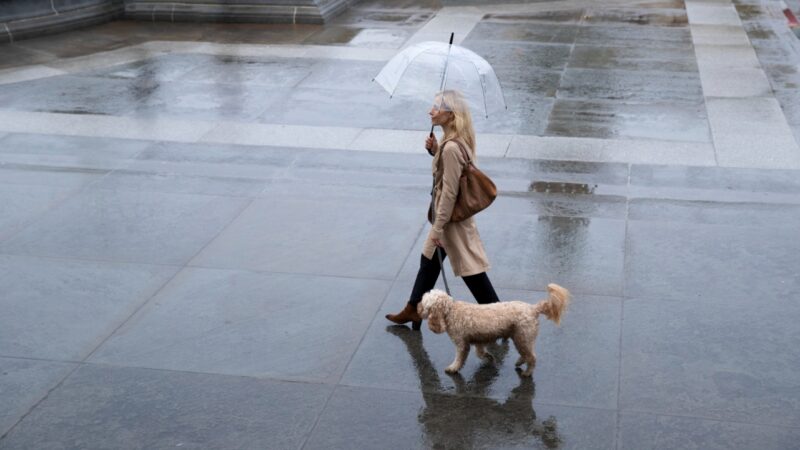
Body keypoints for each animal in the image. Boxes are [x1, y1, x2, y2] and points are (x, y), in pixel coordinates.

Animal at [418, 284, 568, 376]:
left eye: (424, 303)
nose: (417, 308)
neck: (450, 311)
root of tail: (533, 309)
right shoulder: (478, 339)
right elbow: (480, 353)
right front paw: (489, 357)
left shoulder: (461, 343)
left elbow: (459, 359)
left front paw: (453, 368)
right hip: (520, 337)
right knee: (527, 354)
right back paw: (520, 362)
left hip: (523, 337)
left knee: (532, 357)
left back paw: (527, 372)